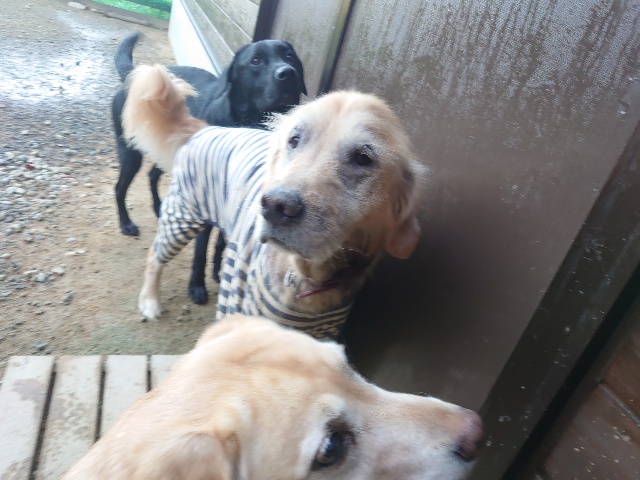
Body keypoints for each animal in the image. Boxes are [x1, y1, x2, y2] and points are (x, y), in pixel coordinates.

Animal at [112, 32, 306, 304]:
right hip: (131, 154)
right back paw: (126, 223)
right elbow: (201, 251)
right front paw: (197, 286)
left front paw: (217, 270)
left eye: (290, 56)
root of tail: (133, 74)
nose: (287, 73)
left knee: (152, 175)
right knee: (119, 188)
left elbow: (223, 242)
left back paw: (158, 207)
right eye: (256, 61)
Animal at [123, 65, 427, 339]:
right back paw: (149, 301)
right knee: (154, 255)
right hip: (181, 217)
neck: (306, 276)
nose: (275, 206)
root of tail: (204, 129)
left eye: (363, 158)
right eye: (294, 140)